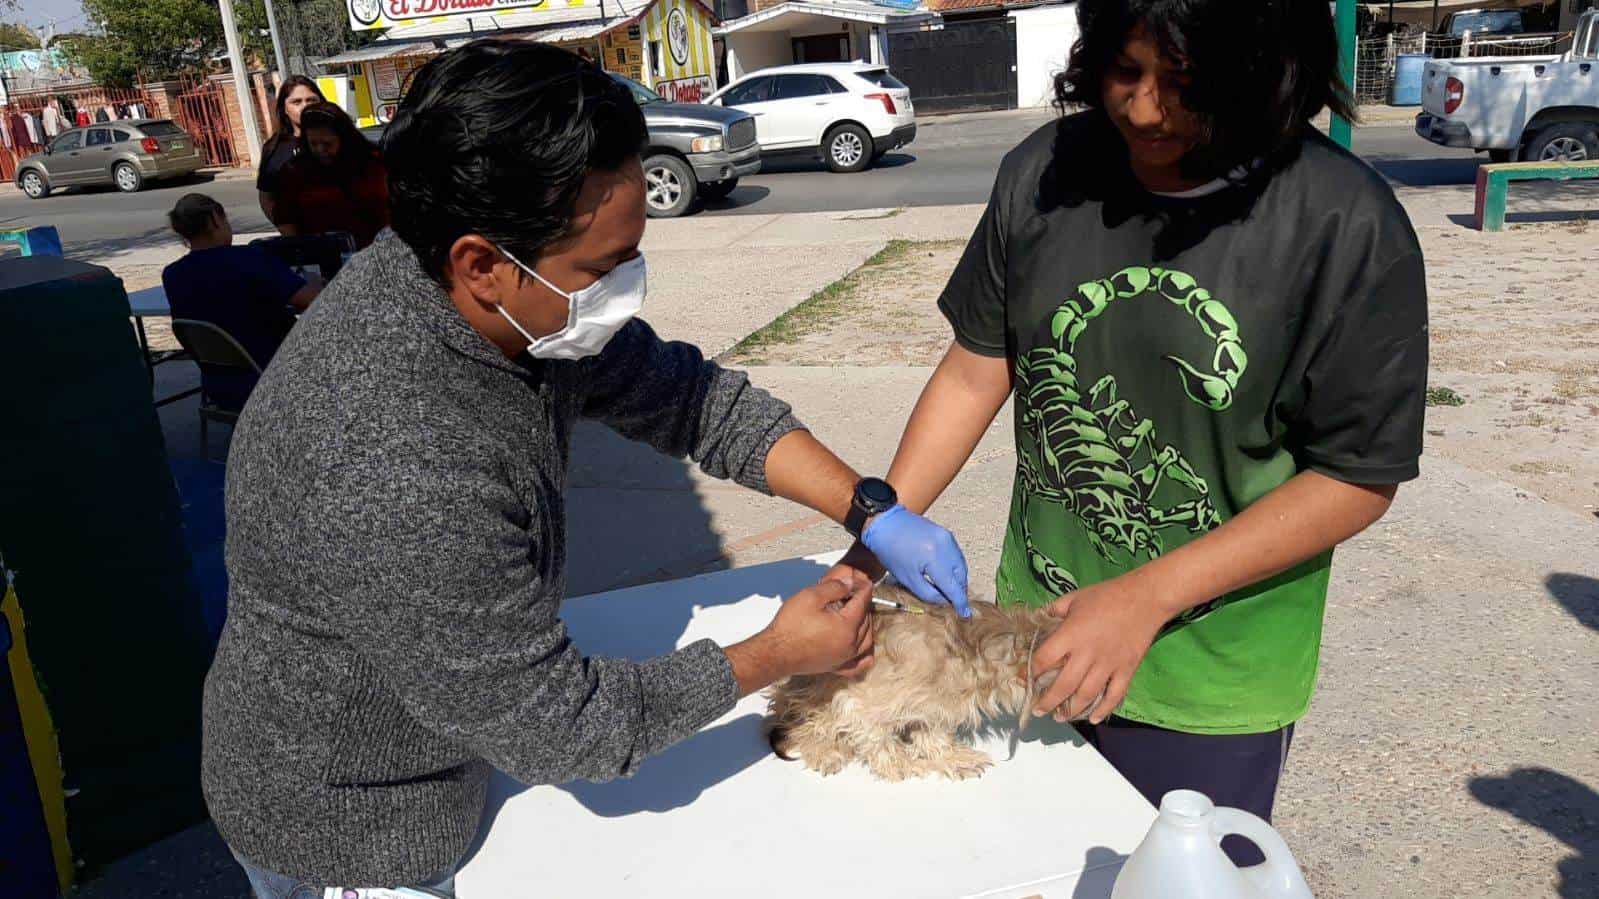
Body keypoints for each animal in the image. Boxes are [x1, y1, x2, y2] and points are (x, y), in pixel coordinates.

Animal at [764, 582, 1055, 777]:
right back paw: (824, 751)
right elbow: (877, 739)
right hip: (816, 689)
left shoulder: (931, 705)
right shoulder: (858, 701)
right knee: (805, 726)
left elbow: (932, 733)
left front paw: (951, 757)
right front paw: (902, 764)